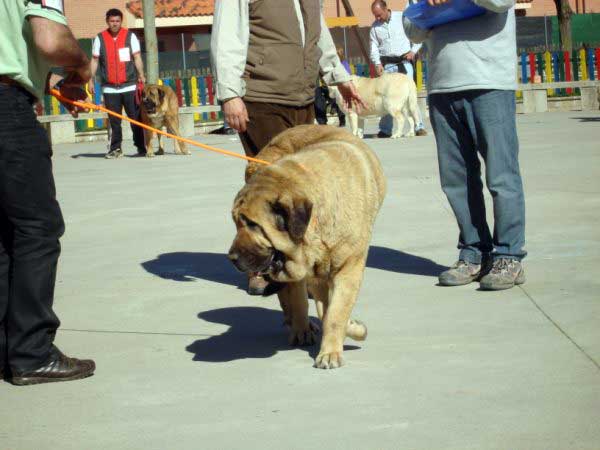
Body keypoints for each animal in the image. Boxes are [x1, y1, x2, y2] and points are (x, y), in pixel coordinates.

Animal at [227, 124, 386, 370]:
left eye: (253, 225)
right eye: (236, 222)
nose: (232, 257)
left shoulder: (348, 267)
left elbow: (335, 313)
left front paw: (334, 347)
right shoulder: (314, 272)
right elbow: (323, 310)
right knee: (294, 298)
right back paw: (300, 327)